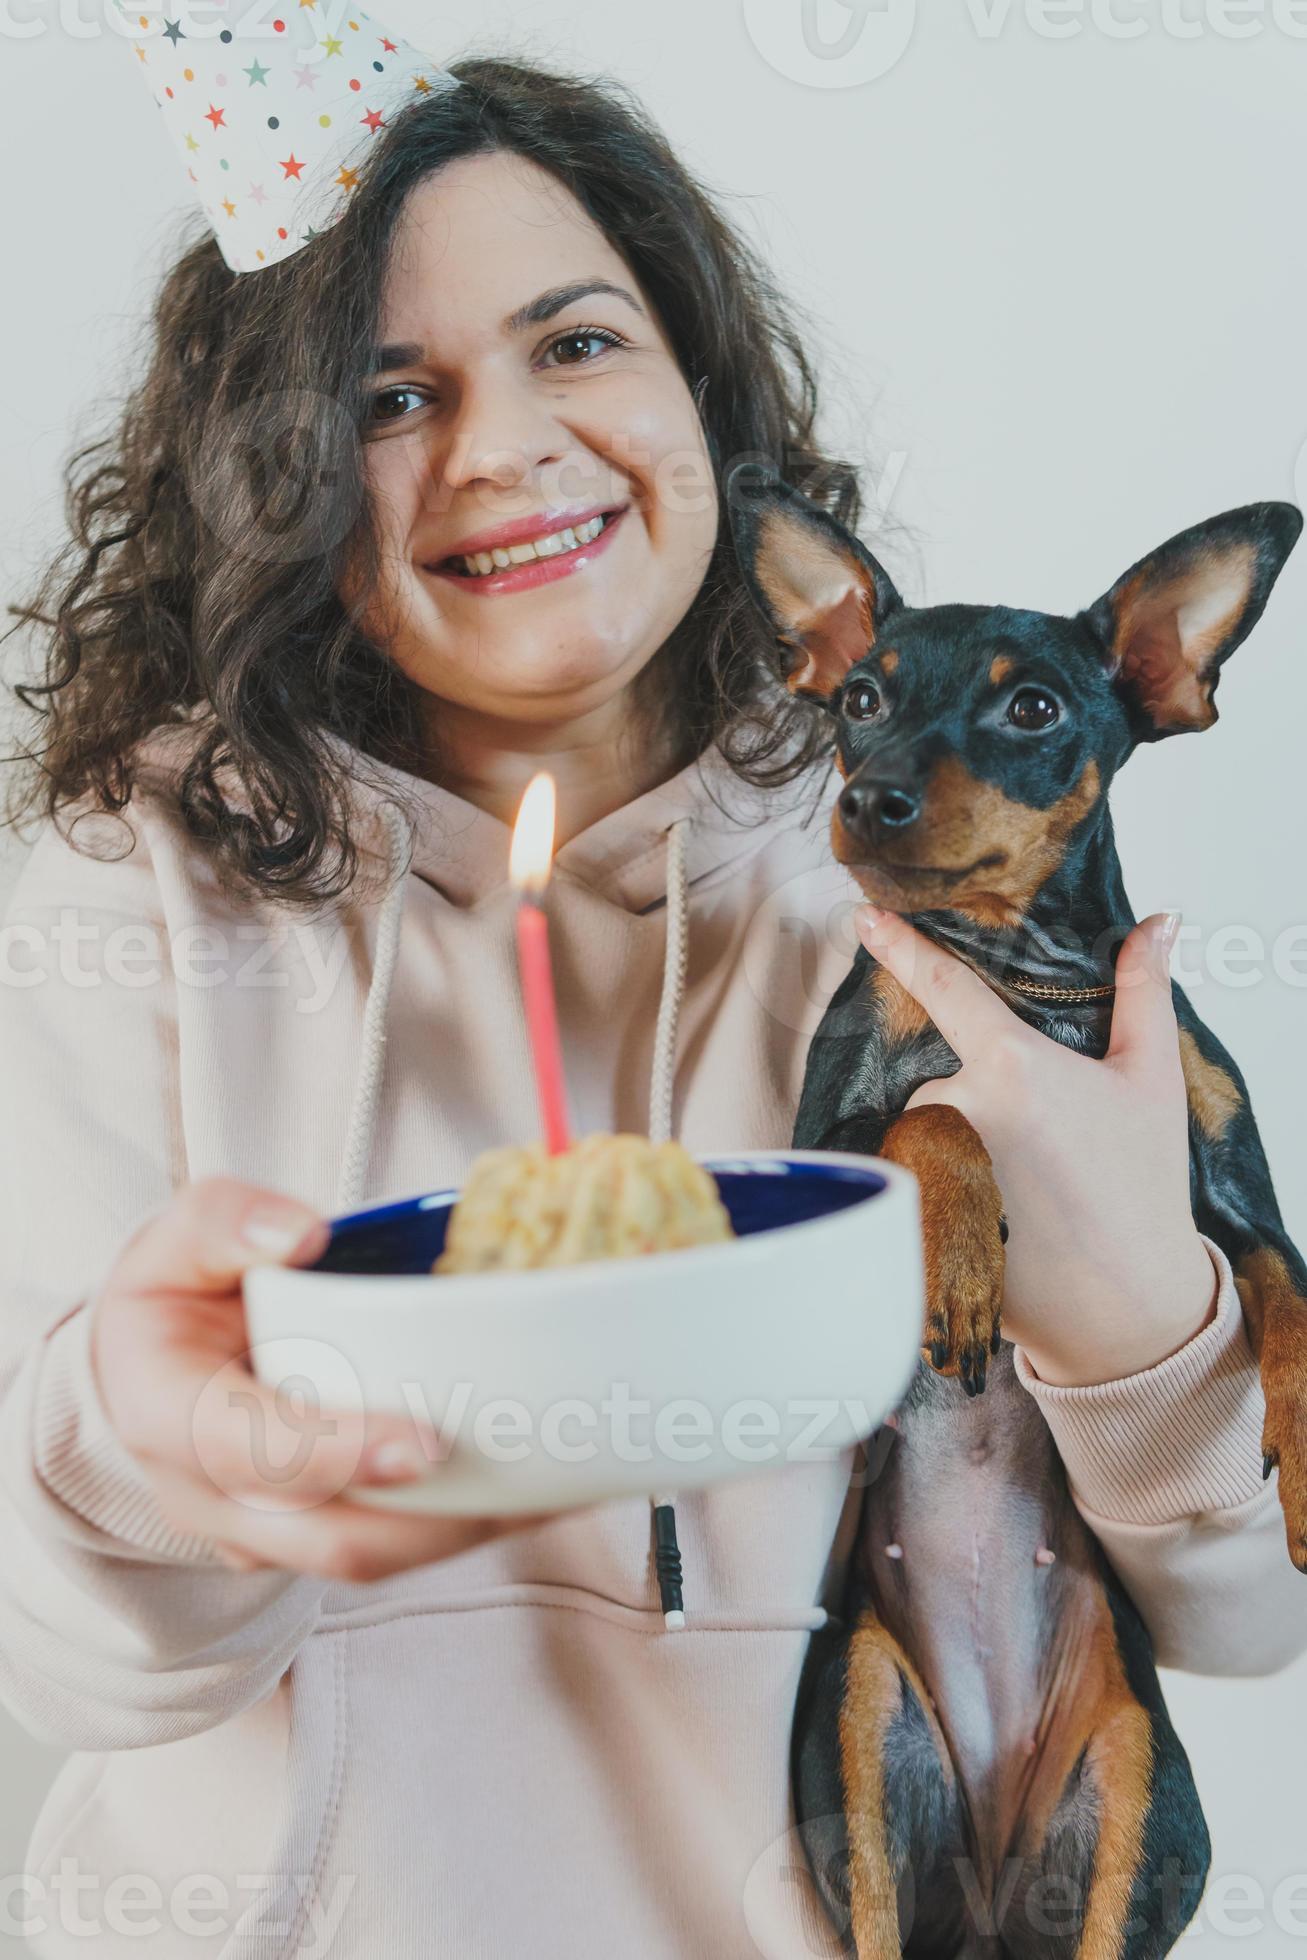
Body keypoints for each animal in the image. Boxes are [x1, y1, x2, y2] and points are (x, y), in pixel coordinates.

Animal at [732, 470, 1301, 1960]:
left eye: (1031, 710)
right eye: (857, 697)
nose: (866, 797)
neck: (1017, 978)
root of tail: (987, 1891)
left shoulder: (1238, 1207)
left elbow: (1289, 1310)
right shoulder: (821, 1151)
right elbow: (932, 1120)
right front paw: (961, 1263)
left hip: (1137, 1798)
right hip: (859, 1732)